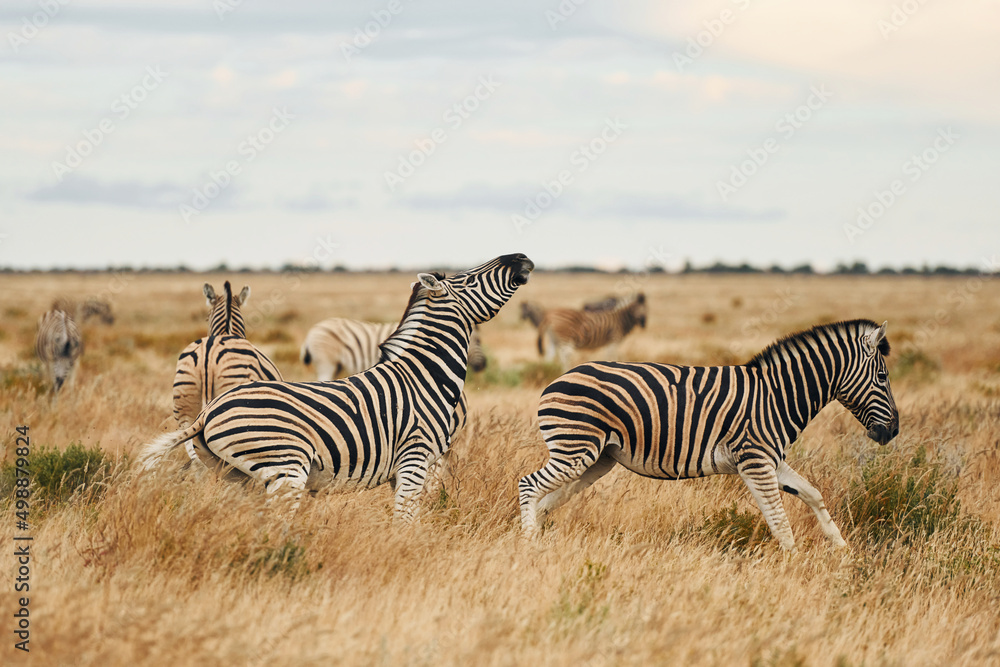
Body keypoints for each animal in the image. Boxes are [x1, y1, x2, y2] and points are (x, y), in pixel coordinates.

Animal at [518, 319, 899, 551]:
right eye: (882, 378)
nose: (893, 431)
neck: (777, 395)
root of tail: (556, 380)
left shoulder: (771, 461)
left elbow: (813, 494)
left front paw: (842, 549)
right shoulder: (755, 460)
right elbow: (779, 521)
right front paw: (794, 566)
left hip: (597, 458)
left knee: (547, 500)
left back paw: (539, 538)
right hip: (576, 451)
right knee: (529, 485)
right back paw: (529, 544)